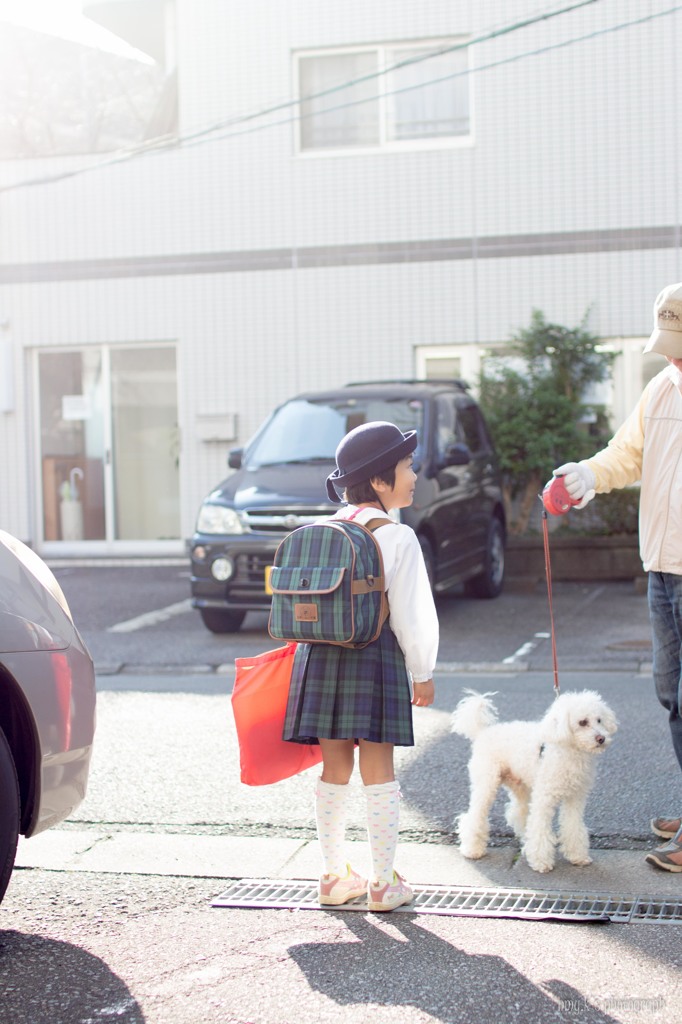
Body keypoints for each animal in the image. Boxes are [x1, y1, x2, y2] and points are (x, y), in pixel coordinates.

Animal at [450, 688, 614, 872]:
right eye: (583, 722)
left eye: (599, 720)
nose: (601, 738)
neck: (568, 750)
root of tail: (483, 732)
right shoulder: (544, 797)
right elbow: (540, 828)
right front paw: (541, 861)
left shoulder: (575, 798)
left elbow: (573, 827)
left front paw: (578, 856)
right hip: (486, 783)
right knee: (475, 815)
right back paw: (473, 849)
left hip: (520, 785)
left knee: (519, 812)